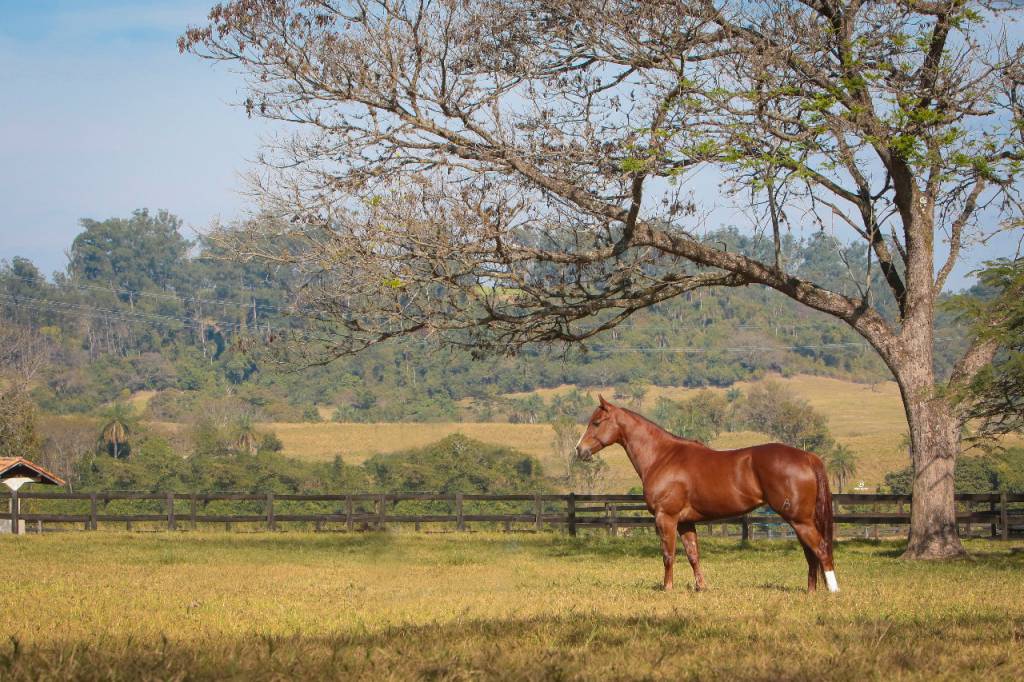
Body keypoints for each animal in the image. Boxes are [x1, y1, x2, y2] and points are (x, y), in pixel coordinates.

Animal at [575, 395, 838, 593]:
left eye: (596, 422)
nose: (580, 450)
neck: (662, 456)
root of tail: (807, 456)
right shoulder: (685, 522)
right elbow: (693, 554)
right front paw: (701, 587)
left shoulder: (666, 518)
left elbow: (668, 554)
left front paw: (667, 588)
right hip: (800, 520)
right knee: (811, 553)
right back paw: (811, 591)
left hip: (799, 519)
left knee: (821, 549)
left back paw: (833, 591)